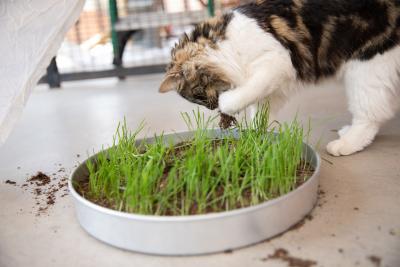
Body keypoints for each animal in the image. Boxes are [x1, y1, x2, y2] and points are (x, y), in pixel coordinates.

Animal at [160, 0, 400, 156]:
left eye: (198, 95)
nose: (210, 108)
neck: (226, 43)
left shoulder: (277, 61)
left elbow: (243, 94)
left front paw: (226, 105)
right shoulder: (274, 84)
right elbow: (258, 112)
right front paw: (253, 140)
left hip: (366, 65)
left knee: (371, 114)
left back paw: (346, 144)